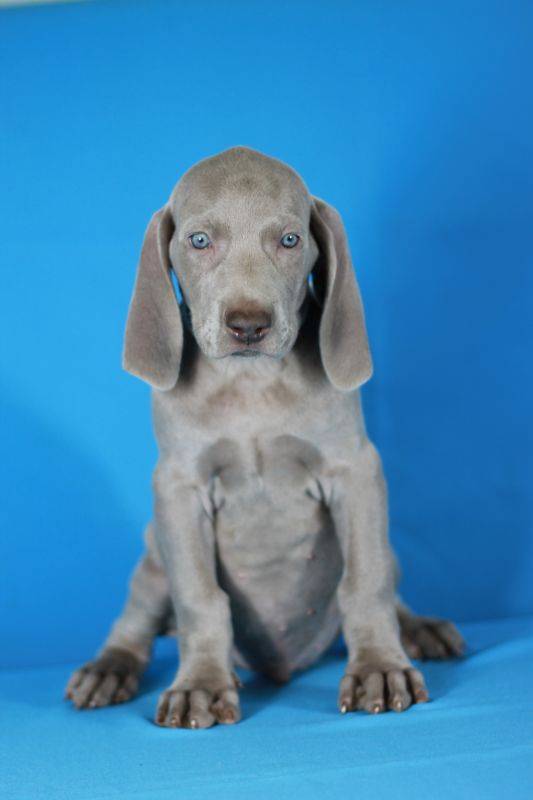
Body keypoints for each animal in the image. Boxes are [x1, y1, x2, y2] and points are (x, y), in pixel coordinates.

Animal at [65, 147, 464, 728]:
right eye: (199, 240)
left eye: (290, 240)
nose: (248, 325)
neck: (251, 384)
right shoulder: (178, 488)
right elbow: (200, 596)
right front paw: (200, 685)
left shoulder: (356, 469)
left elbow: (365, 583)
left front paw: (380, 668)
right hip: (152, 551)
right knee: (136, 616)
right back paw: (108, 668)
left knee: (389, 582)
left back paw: (420, 628)